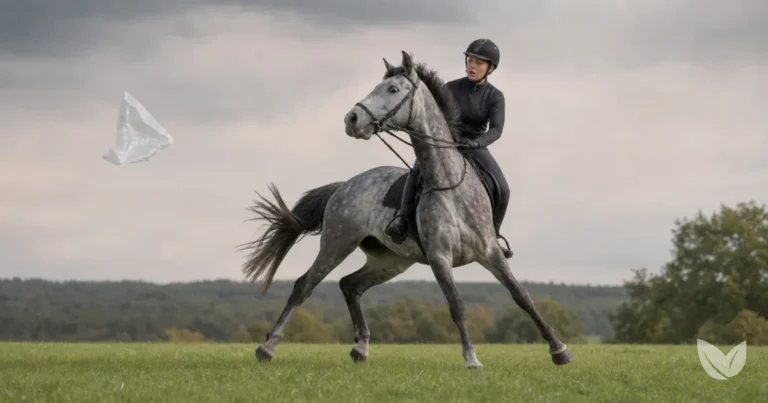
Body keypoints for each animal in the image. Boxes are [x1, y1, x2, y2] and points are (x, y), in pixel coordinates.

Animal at [239, 51, 573, 368]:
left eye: (392, 89)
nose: (351, 119)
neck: (449, 184)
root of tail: (345, 185)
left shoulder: (490, 252)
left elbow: (522, 297)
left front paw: (559, 350)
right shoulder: (440, 257)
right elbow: (457, 306)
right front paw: (471, 358)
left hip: (391, 260)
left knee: (350, 285)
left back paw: (360, 348)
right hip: (338, 242)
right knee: (304, 286)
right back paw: (267, 347)